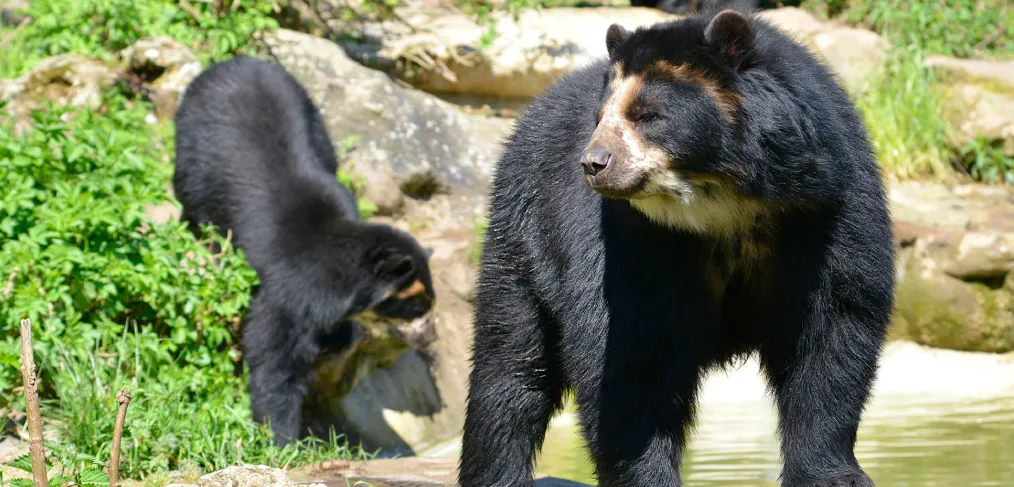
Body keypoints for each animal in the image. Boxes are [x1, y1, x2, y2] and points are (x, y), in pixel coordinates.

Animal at [171, 55, 440, 446]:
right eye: (413, 307)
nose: (431, 336)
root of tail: (234, 61)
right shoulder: (290, 292)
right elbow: (275, 357)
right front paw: (281, 439)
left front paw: (338, 335)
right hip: (193, 144)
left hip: (311, 113)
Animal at [460, 8, 896, 487]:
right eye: (600, 117)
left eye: (647, 115)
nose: (594, 163)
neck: (722, 205)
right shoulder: (632, 240)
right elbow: (629, 351)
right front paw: (647, 474)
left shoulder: (824, 212)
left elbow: (832, 330)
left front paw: (831, 474)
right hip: (526, 232)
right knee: (511, 361)